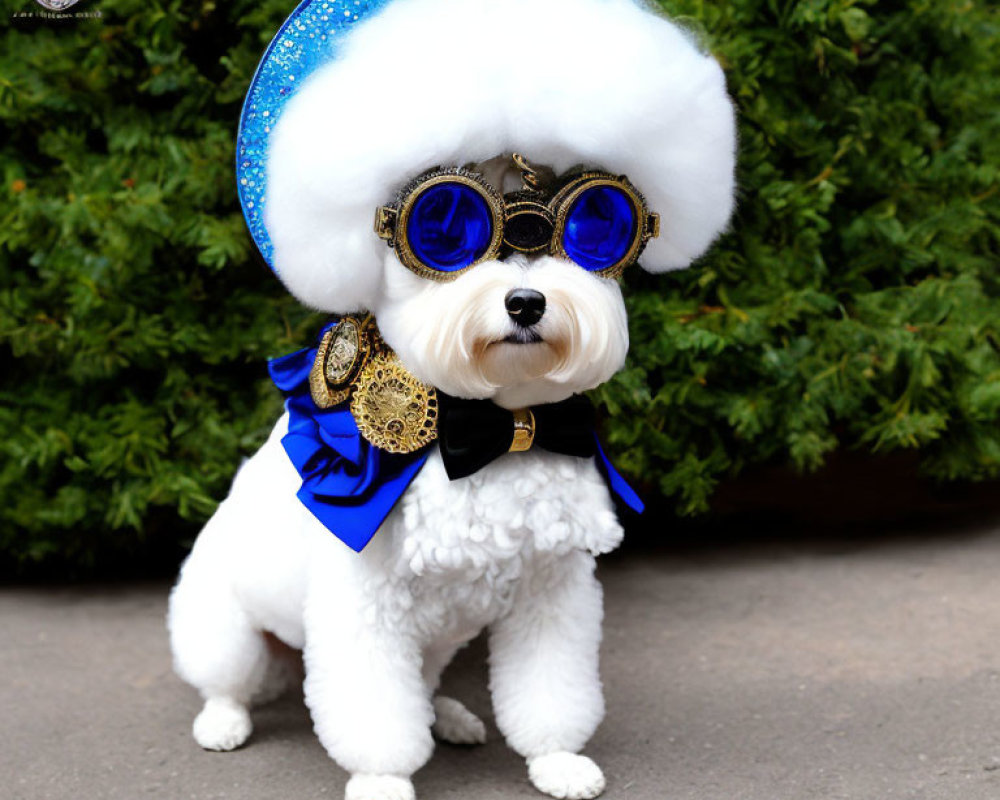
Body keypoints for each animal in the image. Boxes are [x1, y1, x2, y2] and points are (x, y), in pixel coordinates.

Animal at [170, 1, 736, 800]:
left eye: (597, 226)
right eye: (444, 230)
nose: (527, 302)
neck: (501, 426)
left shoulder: (552, 593)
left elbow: (550, 693)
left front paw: (556, 761)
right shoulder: (364, 610)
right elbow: (377, 714)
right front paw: (382, 781)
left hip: (438, 638)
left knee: (426, 683)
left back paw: (450, 718)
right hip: (225, 630)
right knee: (227, 682)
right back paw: (223, 721)